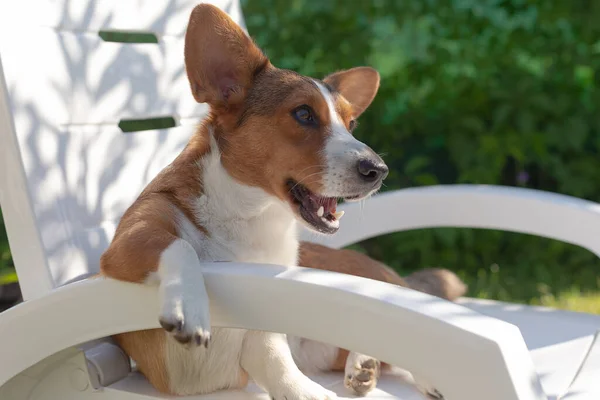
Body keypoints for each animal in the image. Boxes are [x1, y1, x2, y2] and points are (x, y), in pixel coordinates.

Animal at [99, 3, 464, 400]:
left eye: (351, 124)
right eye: (303, 114)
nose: (379, 170)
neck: (250, 215)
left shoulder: (263, 336)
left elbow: (276, 358)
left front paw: (306, 391)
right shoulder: (129, 241)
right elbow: (180, 246)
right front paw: (189, 307)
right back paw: (363, 366)